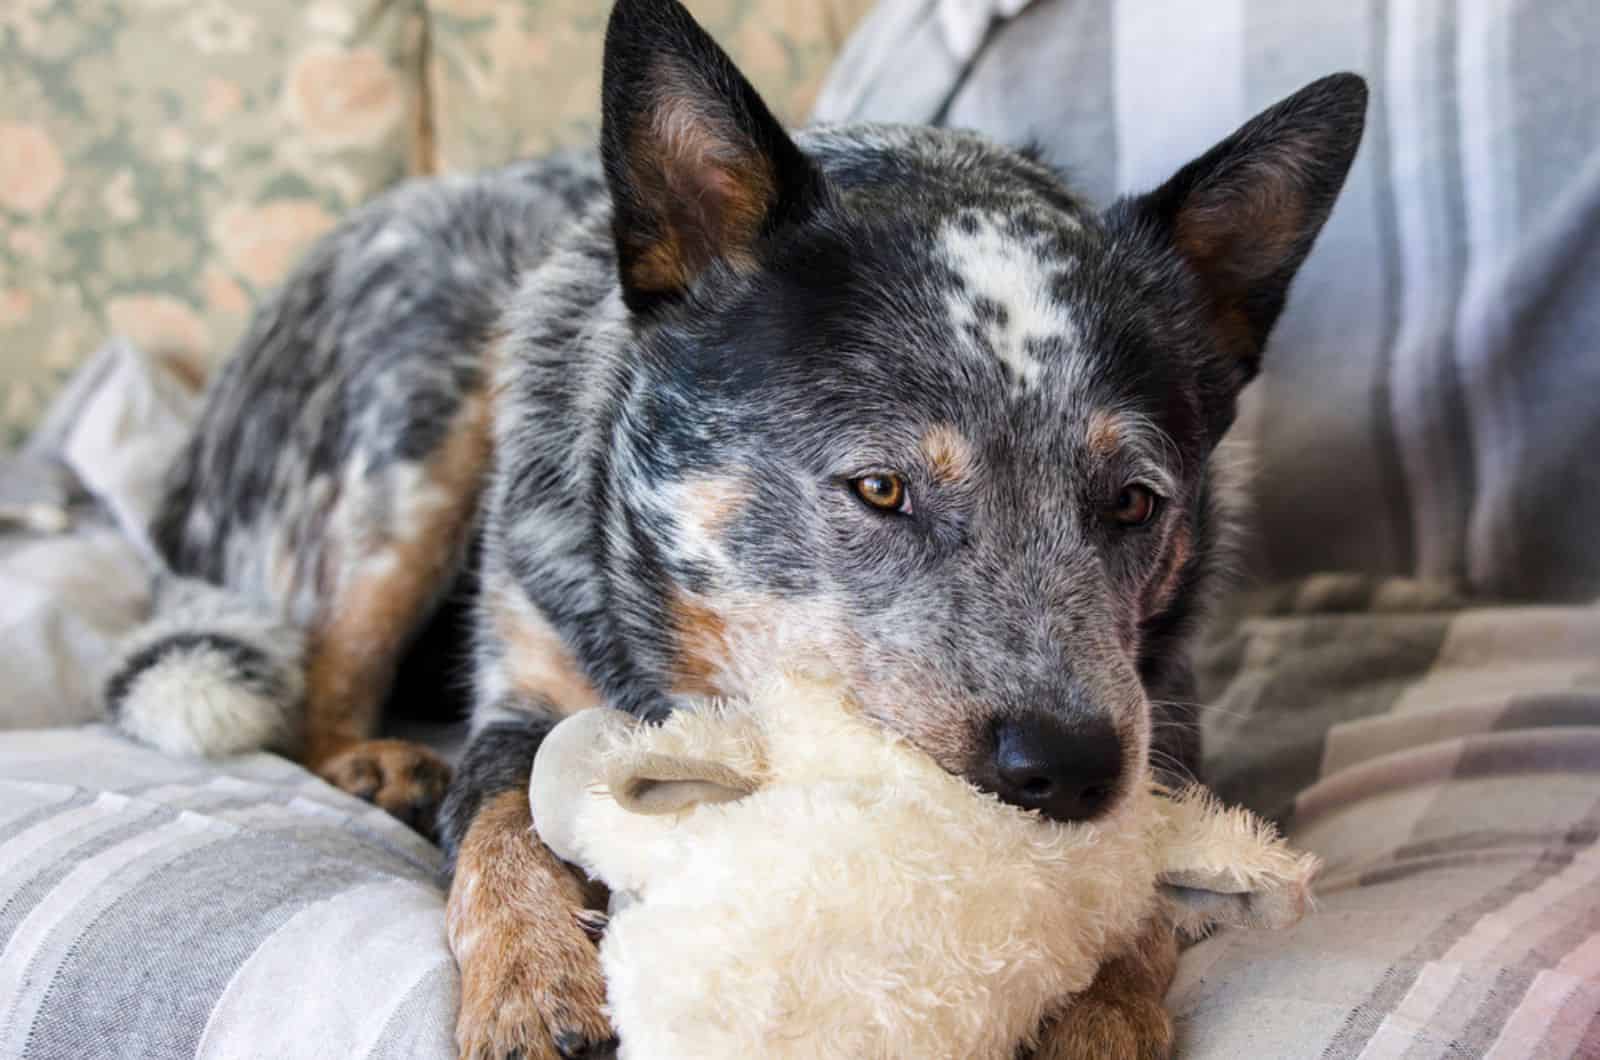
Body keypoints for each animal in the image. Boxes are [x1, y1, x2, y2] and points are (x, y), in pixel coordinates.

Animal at [106, 4, 1369, 1056]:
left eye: (1133, 503)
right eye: (880, 488)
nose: (1065, 770)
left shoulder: (1162, 716)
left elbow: (1135, 894)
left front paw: (1098, 1007)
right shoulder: (526, 694)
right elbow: (506, 825)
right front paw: (531, 982)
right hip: (418, 399)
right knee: (317, 666)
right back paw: (372, 759)